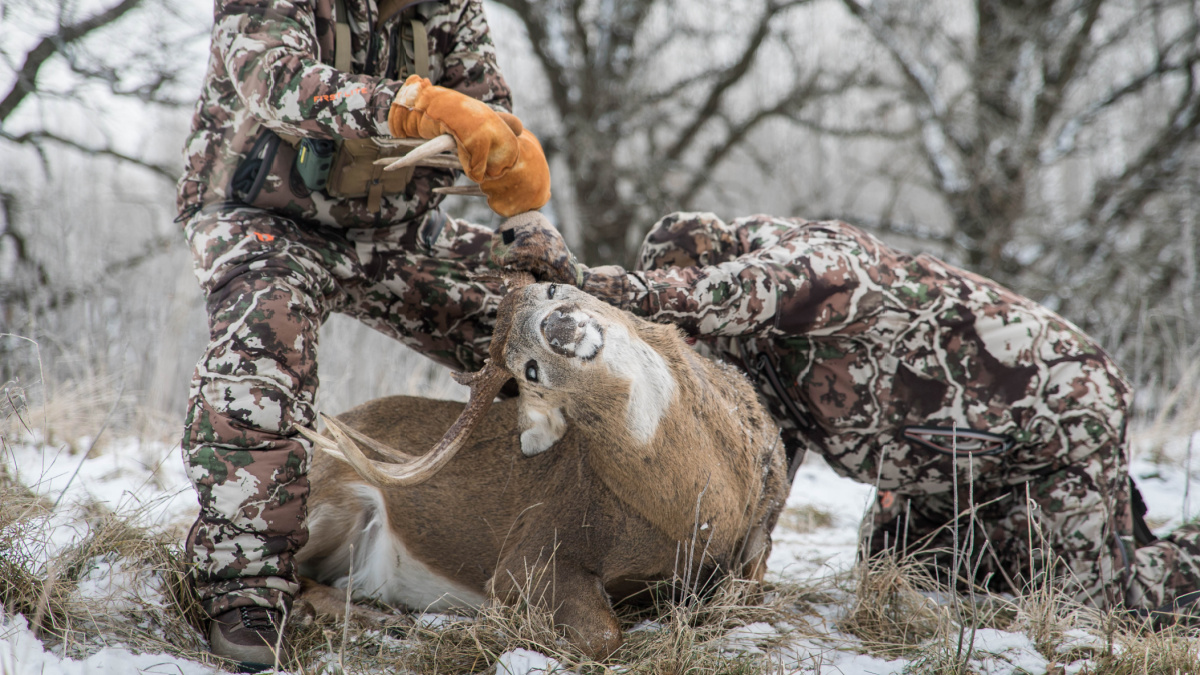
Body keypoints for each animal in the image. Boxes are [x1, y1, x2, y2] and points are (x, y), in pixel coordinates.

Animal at [296, 269, 792, 658]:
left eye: (553, 287)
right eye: (529, 369)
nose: (558, 324)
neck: (701, 514)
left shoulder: (760, 533)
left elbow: (746, 596)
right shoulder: (532, 549)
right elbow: (602, 635)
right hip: (328, 502)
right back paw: (377, 617)